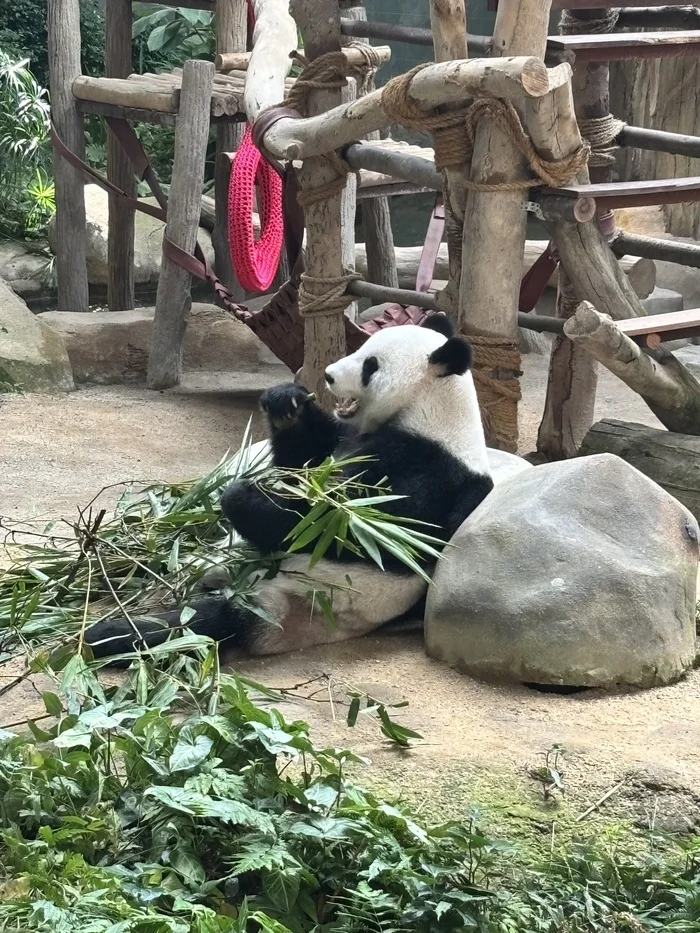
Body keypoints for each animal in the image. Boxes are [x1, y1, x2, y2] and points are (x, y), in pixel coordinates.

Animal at [86, 314, 496, 660]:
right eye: (363, 348)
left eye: (370, 365)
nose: (328, 375)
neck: (431, 409)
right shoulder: (348, 438)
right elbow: (305, 459)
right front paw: (287, 403)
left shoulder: (427, 472)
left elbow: (345, 528)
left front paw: (242, 497)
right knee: (178, 563)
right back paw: (119, 564)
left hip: (293, 599)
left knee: (204, 620)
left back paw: (106, 633)